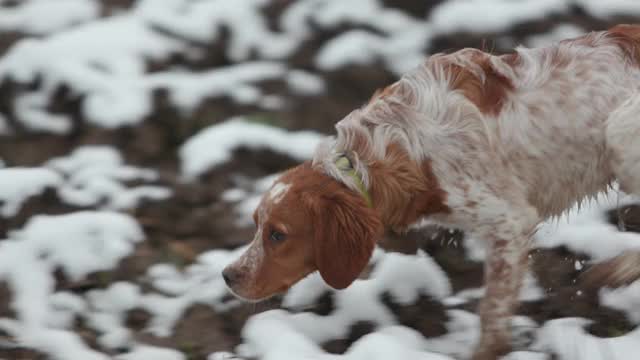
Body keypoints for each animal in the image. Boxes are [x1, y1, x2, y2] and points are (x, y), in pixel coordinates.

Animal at [222, 23, 640, 358]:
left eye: (278, 235)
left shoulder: (510, 222)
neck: (395, 149)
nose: (228, 275)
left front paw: (486, 351)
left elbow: (492, 310)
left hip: (620, 137)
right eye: (256, 224)